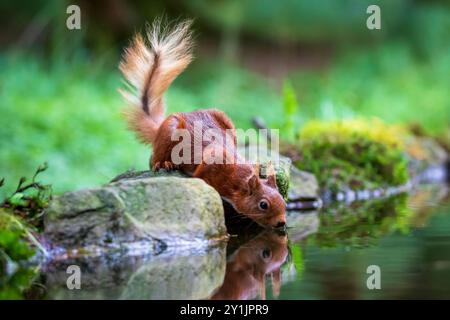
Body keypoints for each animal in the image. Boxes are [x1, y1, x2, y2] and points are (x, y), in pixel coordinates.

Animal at [118, 20, 284, 228]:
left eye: (284, 200)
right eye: (263, 204)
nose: (282, 223)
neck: (237, 177)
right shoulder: (209, 167)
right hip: (169, 131)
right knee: (154, 157)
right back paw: (163, 163)